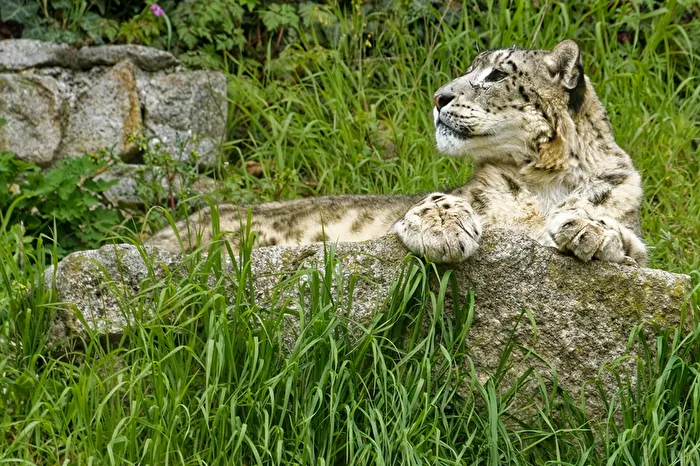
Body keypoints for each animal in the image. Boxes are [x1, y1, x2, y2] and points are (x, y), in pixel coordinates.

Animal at [147, 40, 647, 266]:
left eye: (496, 74)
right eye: (470, 69)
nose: (439, 97)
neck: (547, 182)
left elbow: (625, 238)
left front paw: (588, 226)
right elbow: (441, 198)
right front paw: (443, 227)